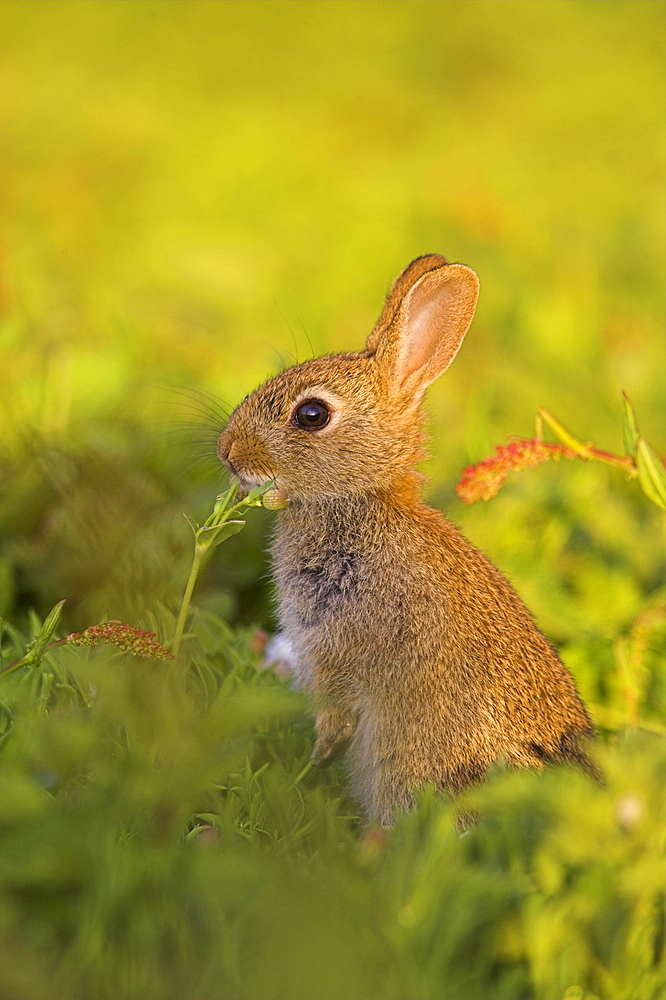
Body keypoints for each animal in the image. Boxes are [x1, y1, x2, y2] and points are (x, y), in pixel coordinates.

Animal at [215, 254, 592, 824]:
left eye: (311, 415)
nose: (227, 450)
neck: (360, 500)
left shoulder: (340, 649)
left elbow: (336, 714)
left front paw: (318, 758)